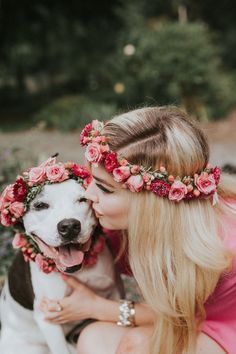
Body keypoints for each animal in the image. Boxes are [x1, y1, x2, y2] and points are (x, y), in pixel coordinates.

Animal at [0, 180, 121, 354]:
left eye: (83, 199)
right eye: (40, 205)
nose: (69, 226)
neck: (80, 271)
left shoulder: (114, 293)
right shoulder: (48, 319)